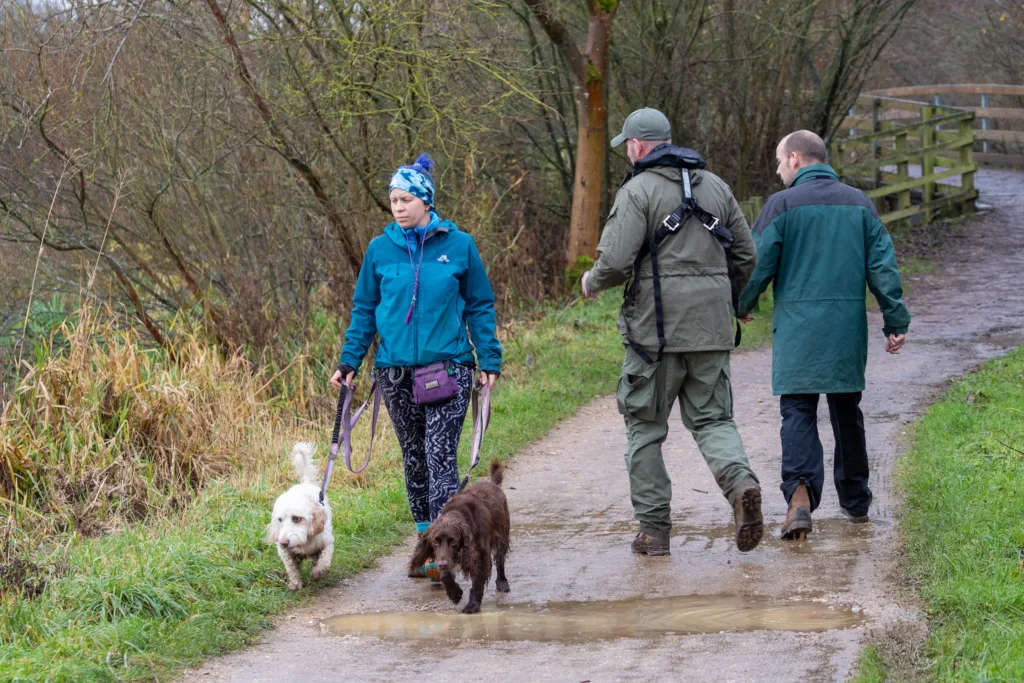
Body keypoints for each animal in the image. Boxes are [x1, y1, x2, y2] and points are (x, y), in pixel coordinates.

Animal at [266, 444, 333, 589]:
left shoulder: (327, 542)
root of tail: (305, 483)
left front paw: (318, 572)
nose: (283, 542)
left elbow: (324, 560)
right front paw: (295, 583)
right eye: (280, 520)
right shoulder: (285, 553)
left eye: (297, 518)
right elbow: (292, 568)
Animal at [409, 458, 509, 614]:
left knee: (500, 560)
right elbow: (444, 574)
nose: (442, 564)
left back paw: (502, 582)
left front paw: (472, 605)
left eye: (454, 542)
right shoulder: (442, 556)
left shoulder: (481, 555)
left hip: (502, 535)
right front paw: (454, 593)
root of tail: (493, 484)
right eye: (435, 542)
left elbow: (477, 583)